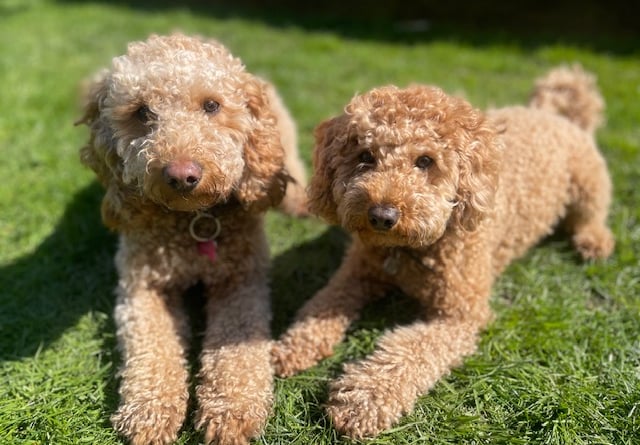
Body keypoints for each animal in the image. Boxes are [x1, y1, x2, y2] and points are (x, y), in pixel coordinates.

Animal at [77, 33, 308, 442]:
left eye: (211, 105)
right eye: (142, 112)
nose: (182, 175)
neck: (193, 221)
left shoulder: (241, 279)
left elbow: (237, 343)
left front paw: (231, 408)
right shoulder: (142, 287)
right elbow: (152, 349)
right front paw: (150, 409)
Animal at [272, 65, 612, 438]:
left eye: (426, 161)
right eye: (365, 157)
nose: (382, 216)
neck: (410, 250)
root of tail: (553, 113)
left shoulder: (459, 314)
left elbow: (410, 351)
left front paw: (363, 398)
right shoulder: (354, 275)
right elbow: (319, 307)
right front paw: (289, 348)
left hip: (588, 183)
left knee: (591, 215)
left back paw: (594, 242)